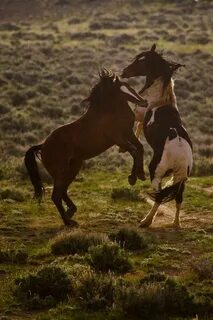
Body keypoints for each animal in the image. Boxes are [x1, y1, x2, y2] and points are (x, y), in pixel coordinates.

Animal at [24, 70, 145, 225]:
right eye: (123, 88)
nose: (144, 101)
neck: (109, 112)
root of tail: (43, 146)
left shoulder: (128, 134)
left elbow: (140, 148)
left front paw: (141, 174)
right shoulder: (118, 138)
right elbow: (135, 151)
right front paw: (132, 178)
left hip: (72, 168)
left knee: (62, 191)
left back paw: (71, 212)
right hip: (62, 170)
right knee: (56, 195)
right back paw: (68, 222)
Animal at [121, 44, 193, 228]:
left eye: (142, 61)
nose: (124, 71)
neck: (159, 99)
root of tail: (180, 156)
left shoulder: (138, 114)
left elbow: (135, 131)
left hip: (157, 171)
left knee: (159, 197)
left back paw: (146, 221)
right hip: (180, 180)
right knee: (178, 199)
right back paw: (176, 223)